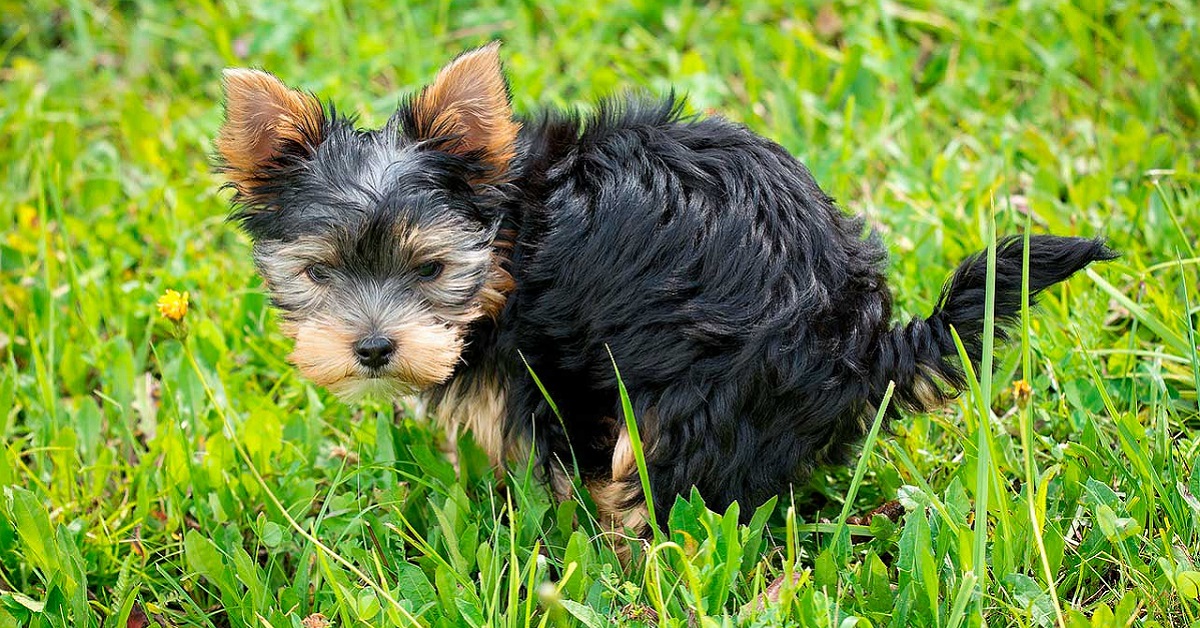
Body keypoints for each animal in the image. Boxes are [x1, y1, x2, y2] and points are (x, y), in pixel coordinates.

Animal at [216, 41, 1113, 537]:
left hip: (704, 392)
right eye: (320, 272)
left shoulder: (551, 368)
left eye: (430, 270)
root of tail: (864, 340)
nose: (373, 348)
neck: (510, 234)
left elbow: (552, 455)